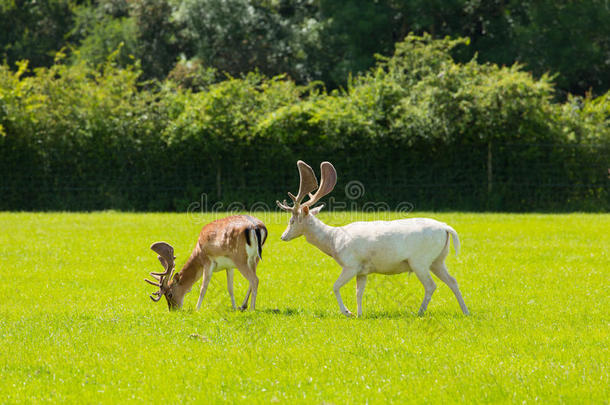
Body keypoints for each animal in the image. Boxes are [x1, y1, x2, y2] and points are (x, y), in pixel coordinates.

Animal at [276, 160, 470, 316]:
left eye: (291, 220)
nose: (283, 236)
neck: (334, 242)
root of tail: (446, 228)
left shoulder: (351, 264)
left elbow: (335, 286)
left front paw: (347, 312)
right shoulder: (362, 271)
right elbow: (359, 292)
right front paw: (360, 314)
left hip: (420, 260)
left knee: (431, 285)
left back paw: (419, 312)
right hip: (438, 260)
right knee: (452, 281)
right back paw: (465, 311)